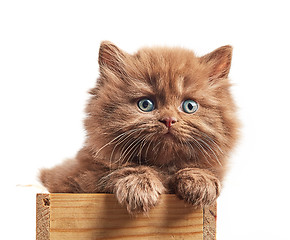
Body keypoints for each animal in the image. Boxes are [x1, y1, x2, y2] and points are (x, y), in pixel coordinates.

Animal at [39, 40, 239, 214]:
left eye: (189, 106)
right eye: (145, 104)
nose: (169, 120)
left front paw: (200, 181)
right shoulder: (77, 178)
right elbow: (126, 168)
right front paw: (138, 186)